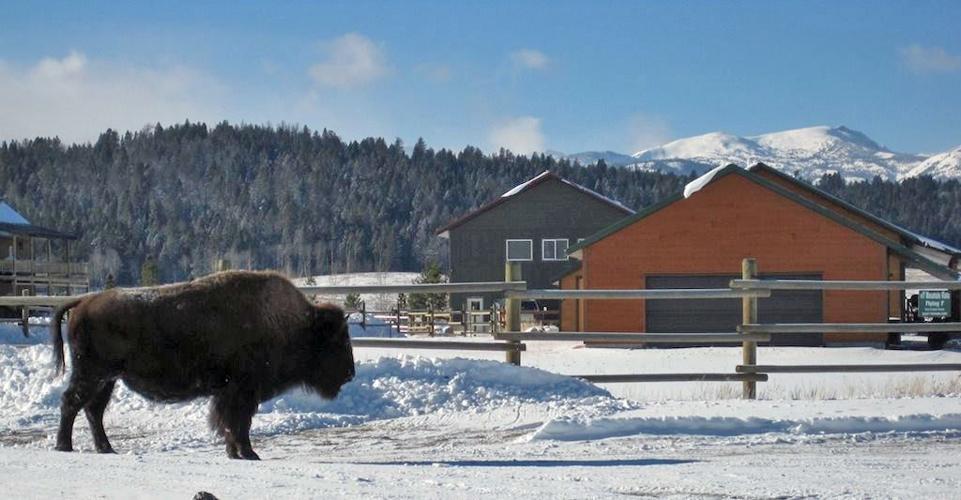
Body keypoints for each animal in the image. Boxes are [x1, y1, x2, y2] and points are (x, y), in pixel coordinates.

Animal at [50, 270, 355, 460]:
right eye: (338, 340)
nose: (351, 373)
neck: (291, 324)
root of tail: (84, 301)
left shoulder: (233, 394)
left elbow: (235, 423)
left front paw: (236, 453)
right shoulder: (240, 393)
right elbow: (237, 423)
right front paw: (249, 453)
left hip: (107, 379)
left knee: (92, 410)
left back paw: (106, 449)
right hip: (93, 374)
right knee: (72, 403)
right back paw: (64, 446)